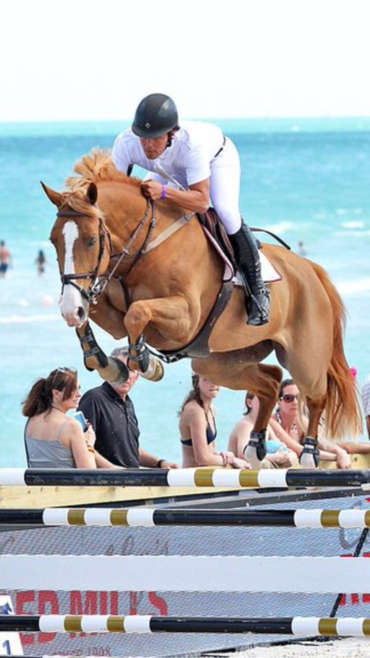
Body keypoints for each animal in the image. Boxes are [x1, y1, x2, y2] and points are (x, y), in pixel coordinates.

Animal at [43, 149, 362, 446]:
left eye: (91, 241)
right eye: (53, 240)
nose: (69, 308)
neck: (146, 246)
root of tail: (311, 270)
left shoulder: (184, 320)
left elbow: (138, 312)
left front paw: (145, 363)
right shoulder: (113, 315)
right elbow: (98, 315)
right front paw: (106, 362)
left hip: (303, 360)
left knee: (316, 396)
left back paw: (309, 452)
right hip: (218, 361)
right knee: (270, 381)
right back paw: (256, 446)